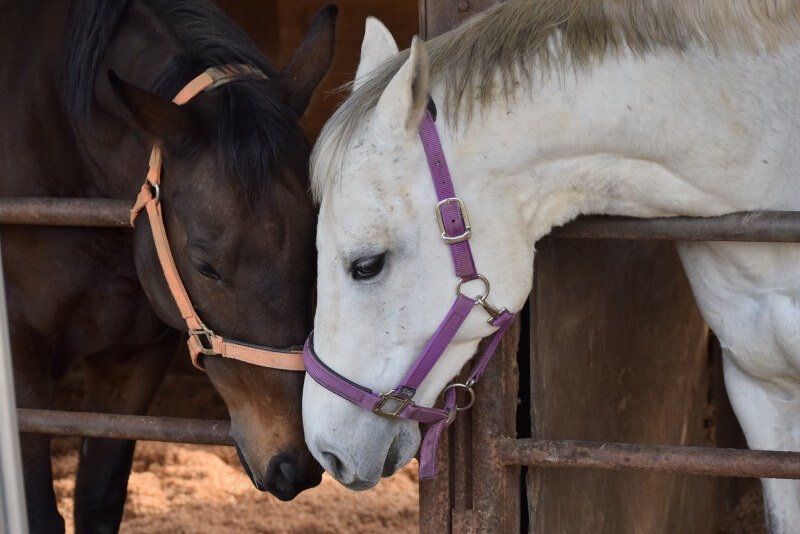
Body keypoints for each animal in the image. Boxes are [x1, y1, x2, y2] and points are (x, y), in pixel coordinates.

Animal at [0, 1, 334, 532]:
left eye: (315, 250)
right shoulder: (22, 364)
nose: (294, 463)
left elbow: (97, 501)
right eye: (205, 266)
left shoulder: (134, 363)